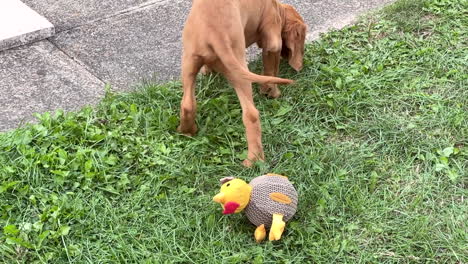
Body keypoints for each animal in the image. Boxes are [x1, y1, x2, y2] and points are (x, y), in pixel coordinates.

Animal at [178, 0, 308, 167]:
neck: (276, 7)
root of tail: (216, 35)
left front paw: (209, 71)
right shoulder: (273, 38)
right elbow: (271, 67)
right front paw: (271, 92)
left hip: (189, 61)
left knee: (187, 104)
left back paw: (186, 131)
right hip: (239, 69)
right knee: (251, 114)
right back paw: (254, 160)